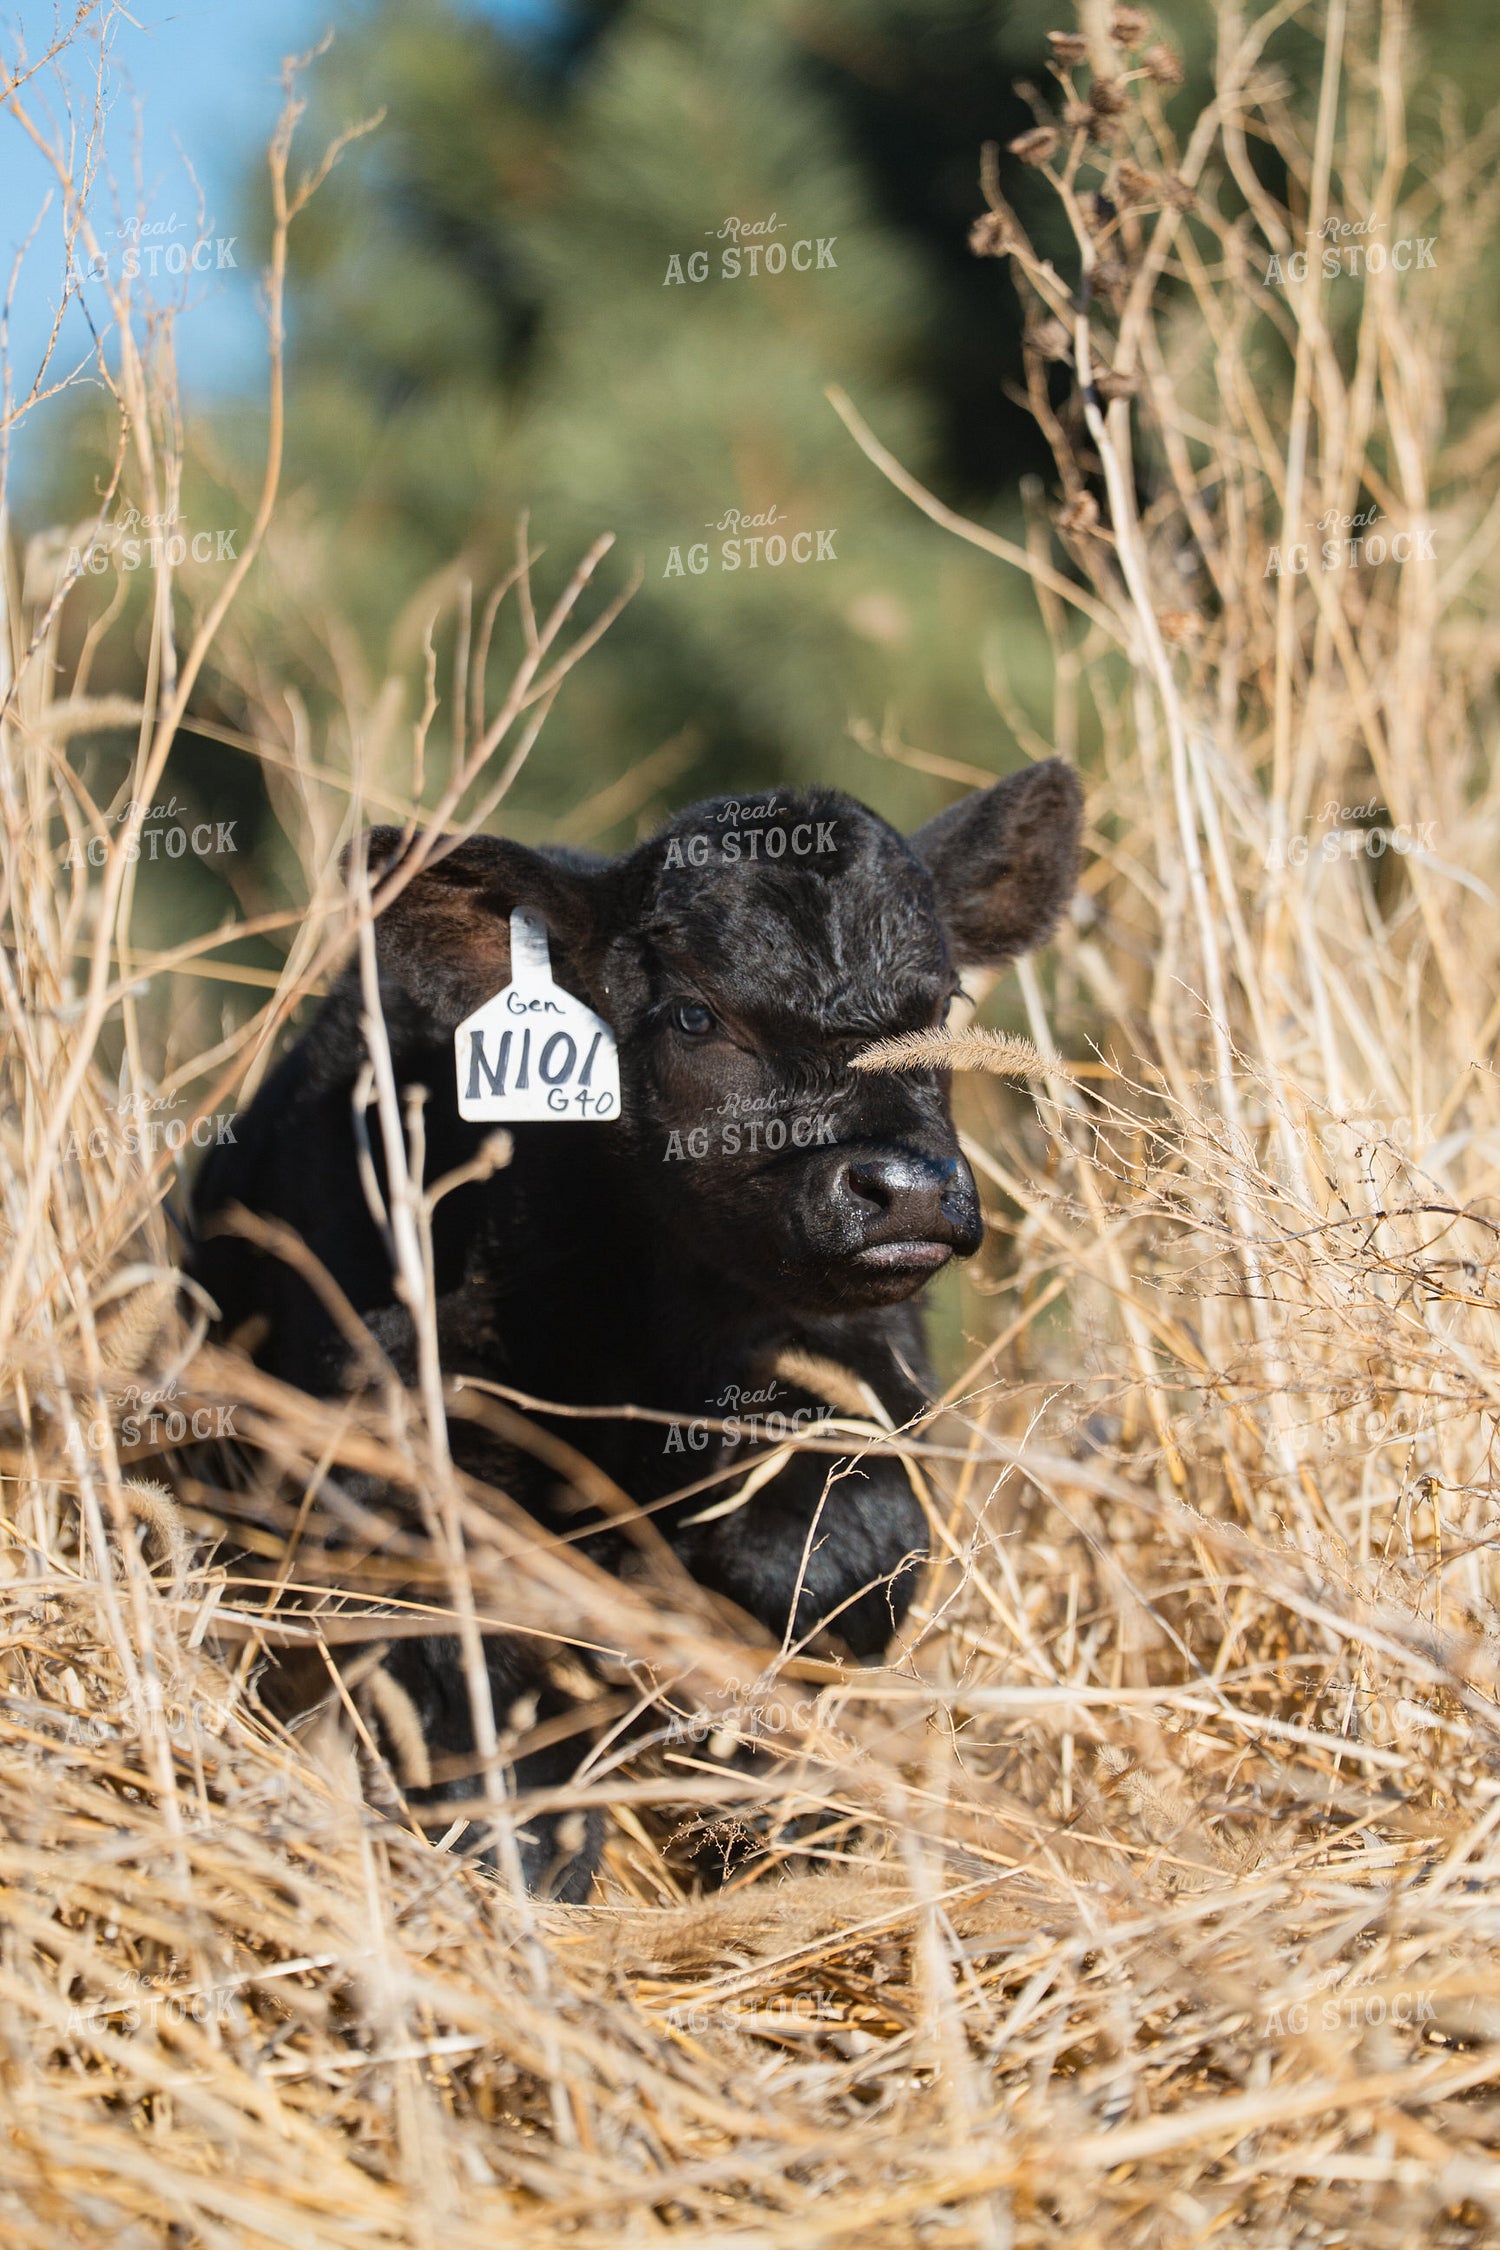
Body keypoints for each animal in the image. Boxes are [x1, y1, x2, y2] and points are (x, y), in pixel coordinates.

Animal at [189, 761, 1082, 1896]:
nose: (908, 1188)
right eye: (695, 1016)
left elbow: (839, 1557)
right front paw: (523, 1865)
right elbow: (468, 1674)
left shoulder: (860, 1389)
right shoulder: (395, 1445)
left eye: (944, 1007)